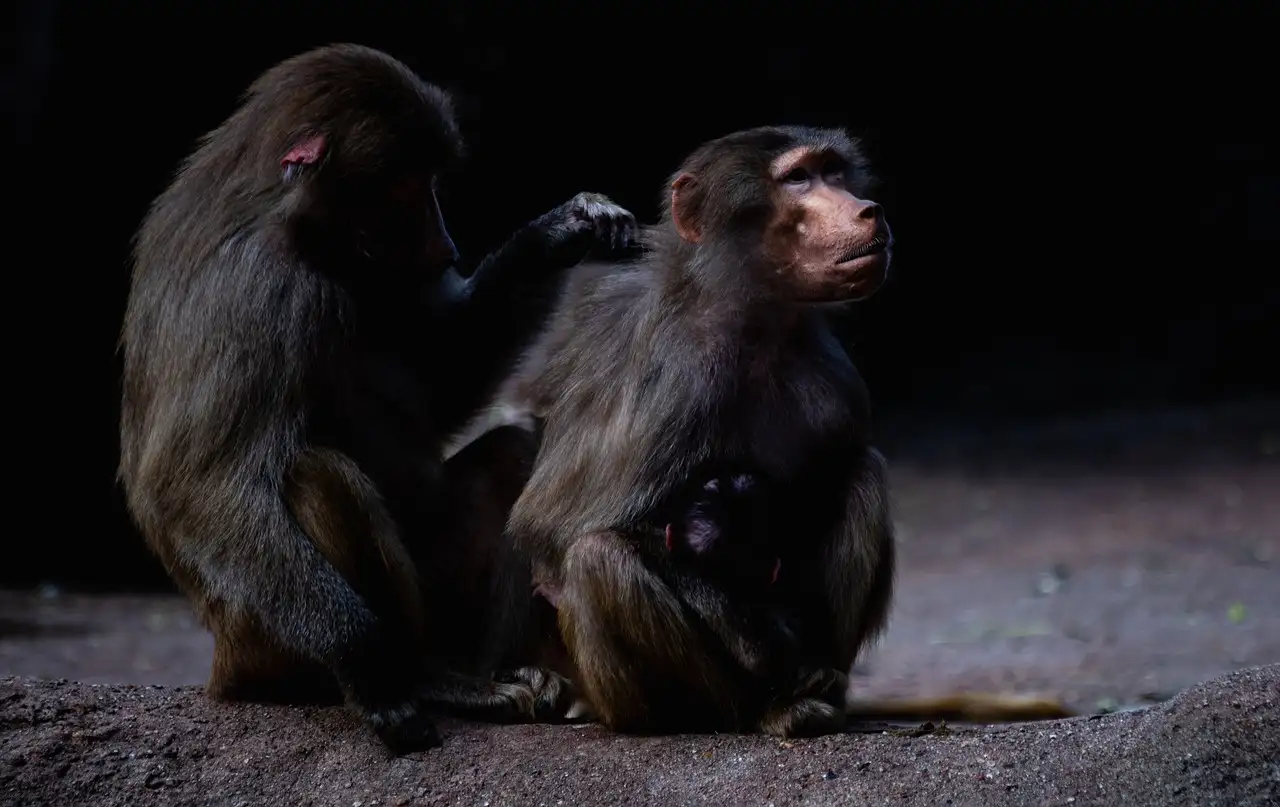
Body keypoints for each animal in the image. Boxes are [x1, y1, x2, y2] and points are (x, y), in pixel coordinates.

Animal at [117, 43, 637, 754]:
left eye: (430, 184)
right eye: (404, 191)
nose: (446, 247)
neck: (298, 231)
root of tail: (224, 662)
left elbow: (441, 384)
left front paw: (562, 230)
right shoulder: (254, 291)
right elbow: (193, 484)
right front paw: (366, 663)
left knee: (511, 455)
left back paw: (494, 669)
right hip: (262, 634)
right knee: (317, 476)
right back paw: (424, 677)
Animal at [500, 125, 1072, 737]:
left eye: (833, 172)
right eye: (797, 178)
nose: (868, 210)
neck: (753, 321)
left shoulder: (833, 378)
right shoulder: (674, 375)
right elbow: (553, 529)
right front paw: (758, 637)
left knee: (862, 472)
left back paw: (820, 690)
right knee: (598, 558)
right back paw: (751, 710)